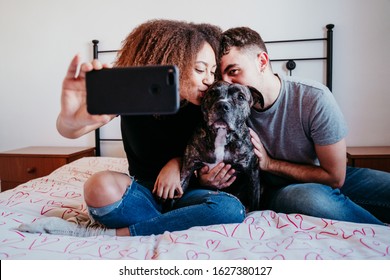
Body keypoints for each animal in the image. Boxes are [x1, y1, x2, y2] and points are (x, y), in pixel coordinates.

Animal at [181, 80, 264, 210]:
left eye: (241, 97)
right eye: (213, 93)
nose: (222, 105)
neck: (221, 134)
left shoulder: (253, 174)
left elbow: (255, 203)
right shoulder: (187, 170)